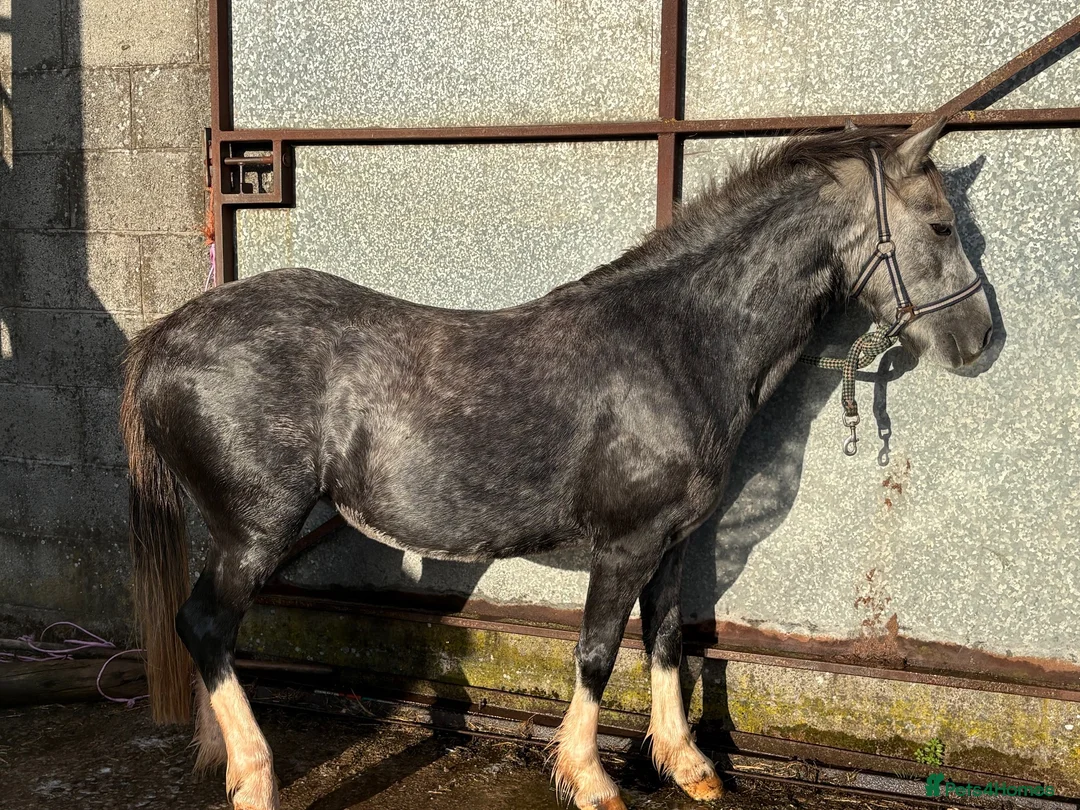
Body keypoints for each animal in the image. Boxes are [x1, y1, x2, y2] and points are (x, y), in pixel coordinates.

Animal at [120, 119, 993, 810]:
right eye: (942, 226)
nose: (979, 339)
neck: (677, 342)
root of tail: (166, 336)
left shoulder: (673, 543)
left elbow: (668, 640)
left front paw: (687, 765)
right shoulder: (626, 543)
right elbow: (598, 652)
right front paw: (592, 778)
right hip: (256, 531)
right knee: (206, 627)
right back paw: (255, 779)